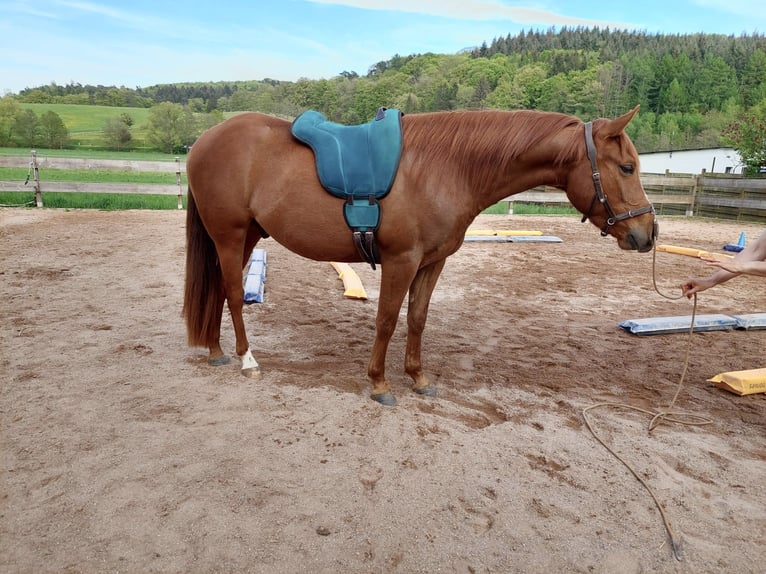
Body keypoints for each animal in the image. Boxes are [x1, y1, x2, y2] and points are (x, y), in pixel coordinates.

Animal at [183, 106, 656, 406]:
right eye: (627, 167)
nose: (647, 233)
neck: (444, 167)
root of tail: (203, 141)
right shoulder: (401, 261)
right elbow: (387, 320)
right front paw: (379, 384)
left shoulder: (432, 262)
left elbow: (417, 318)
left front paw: (418, 377)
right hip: (230, 236)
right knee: (232, 292)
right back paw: (247, 360)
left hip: (247, 236)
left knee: (220, 291)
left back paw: (216, 350)